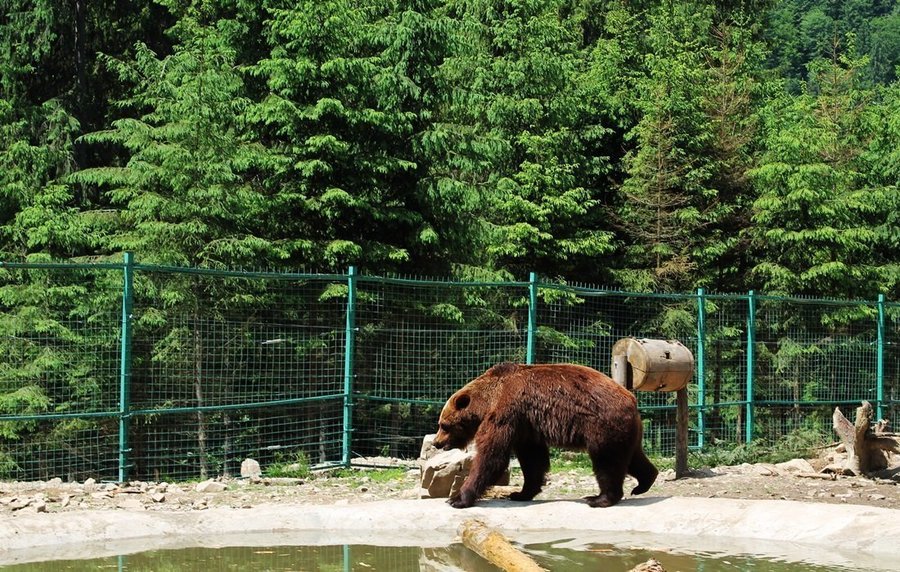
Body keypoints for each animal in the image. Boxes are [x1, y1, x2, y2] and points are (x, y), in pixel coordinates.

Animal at [432, 362, 656, 510]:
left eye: (444, 425)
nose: (436, 443)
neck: (488, 400)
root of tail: (631, 398)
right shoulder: (527, 425)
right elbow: (533, 460)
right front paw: (520, 493)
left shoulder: (508, 412)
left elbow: (491, 456)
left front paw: (457, 498)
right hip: (626, 430)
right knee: (632, 457)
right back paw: (644, 482)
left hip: (603, 425)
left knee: (606, 461)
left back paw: (599, 498)